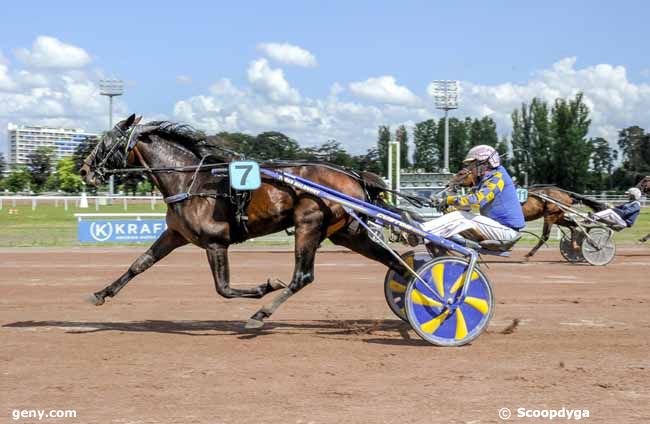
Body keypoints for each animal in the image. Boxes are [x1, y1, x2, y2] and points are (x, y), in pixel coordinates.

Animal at [78, 114, 402, 330]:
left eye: (107, 142)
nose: (84, 170)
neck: (191, 180)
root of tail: (355, 175)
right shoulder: (176, 234)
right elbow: (140, 264)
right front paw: (101, 294)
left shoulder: (215, 242)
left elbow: (223, 288)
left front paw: (266, 286)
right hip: (348, 232)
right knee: (394, 262)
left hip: (309, 224)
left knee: (302, 277)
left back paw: (260, 315)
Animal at [446, 169, 604, 258]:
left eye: (461, 173)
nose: (448, 184)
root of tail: (566, 194)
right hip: (557, 216)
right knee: (573, 226)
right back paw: (575, 247)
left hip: (550, 216)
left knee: (545, 236)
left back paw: (529, 254)